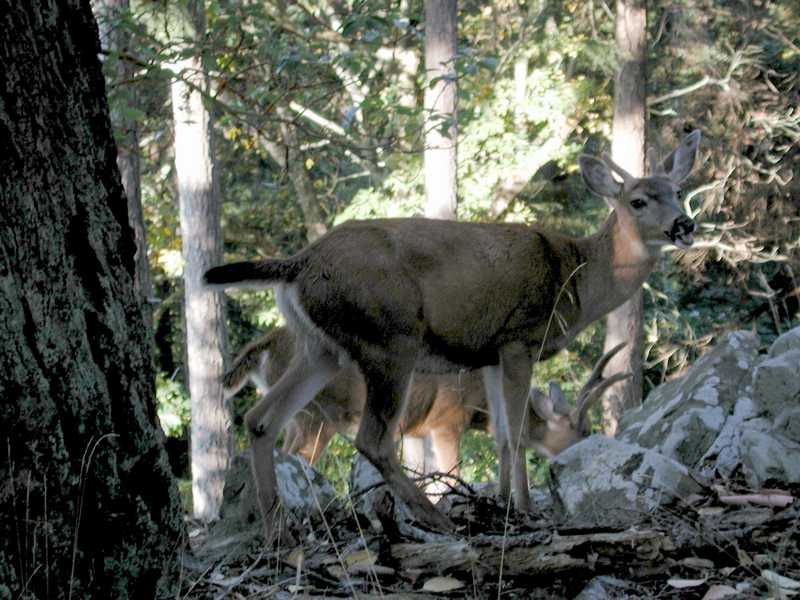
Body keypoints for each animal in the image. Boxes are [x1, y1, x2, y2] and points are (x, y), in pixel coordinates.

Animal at [223, 325, 630, 472]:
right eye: (584, 429)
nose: (595, 449)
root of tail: (265, 345)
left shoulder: (418, 430)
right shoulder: (446, 421)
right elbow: (451, 476)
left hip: (304, 417)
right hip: (317, 413)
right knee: (294, 456)